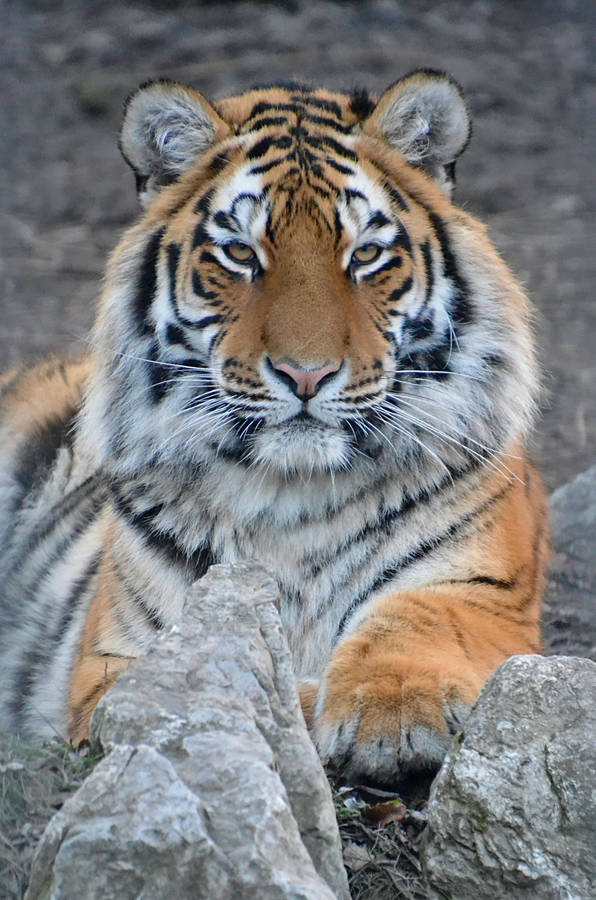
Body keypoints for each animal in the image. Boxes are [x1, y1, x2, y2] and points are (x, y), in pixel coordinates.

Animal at [0, 70, 548, 784]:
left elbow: (418, 618)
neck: (297, 493)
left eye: (365, 255)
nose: (306, 374)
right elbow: (214, 691)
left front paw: (393, 709)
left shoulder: (484, 594)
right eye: (240, 253)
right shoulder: (114, 662)